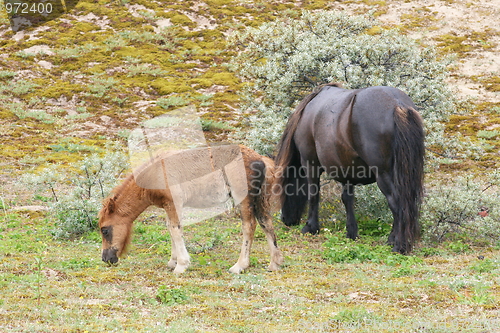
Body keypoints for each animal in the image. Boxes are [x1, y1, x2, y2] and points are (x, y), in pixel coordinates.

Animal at [276, 82, 424, 252]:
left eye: (282, 187)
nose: (285, 219)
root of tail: (397, 104)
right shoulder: (346, 169)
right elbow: (347, 198)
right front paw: (351, 232)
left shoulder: (310, 162)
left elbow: (314, 194)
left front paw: (311, 227)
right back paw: (393, 240)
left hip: (383, 174)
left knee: (397, 203)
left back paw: (399, 245)